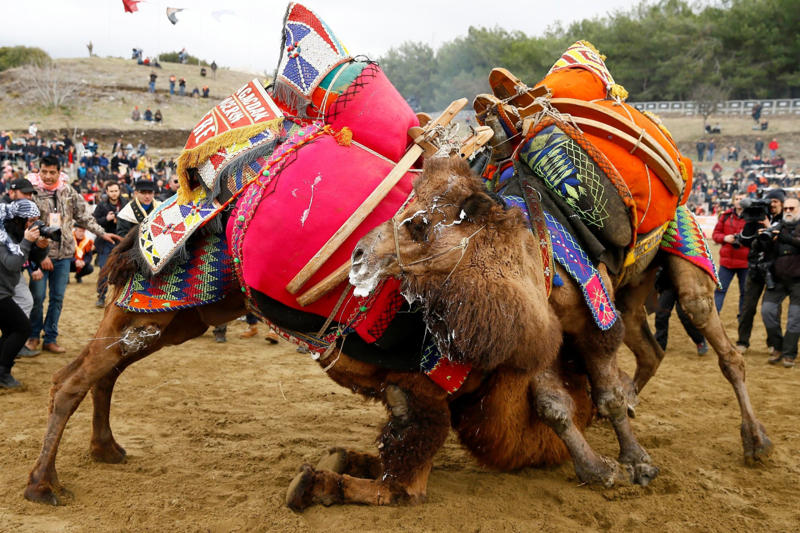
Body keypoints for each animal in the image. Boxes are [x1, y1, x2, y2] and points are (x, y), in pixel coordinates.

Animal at [349, 155, 773, 473]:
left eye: (419, 224)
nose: (358, 254)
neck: (535, 254)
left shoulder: (593, 320)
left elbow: (607, 394)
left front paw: (637, 462)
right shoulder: (540, 333)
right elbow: (552, 406)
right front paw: (596, 468)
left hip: (683, 249)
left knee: (717, 339)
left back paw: (756, 441)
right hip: (630, 290)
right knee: (650, 349)